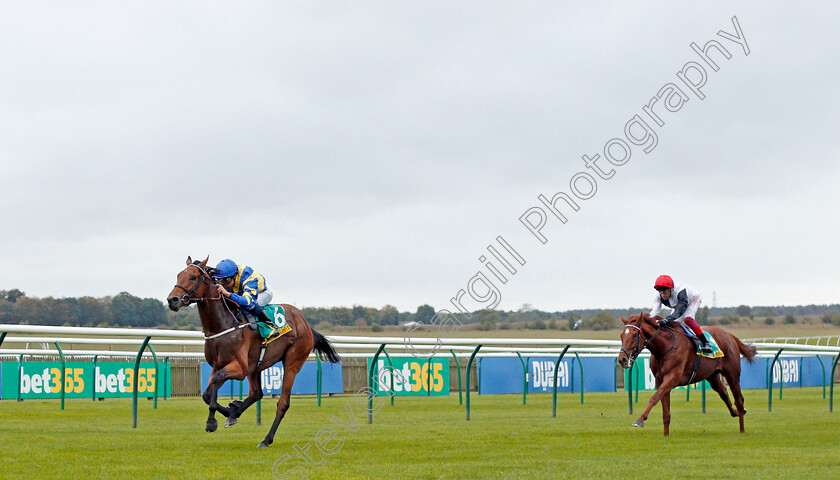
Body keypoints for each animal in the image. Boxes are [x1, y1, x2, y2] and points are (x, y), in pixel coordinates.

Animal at [166, 256, 340, 448]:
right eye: (179, 275)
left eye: (193, 277)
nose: (172, 299)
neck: (223, 325)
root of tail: (305, 323)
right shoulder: (219, 365)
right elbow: (207, 394)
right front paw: (230, 410)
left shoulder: (240, 368)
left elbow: (217, 382)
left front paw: (212, 421)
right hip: (255, 367)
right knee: (257, 393)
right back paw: (235, 413)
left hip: (292, 363)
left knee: (282, 404)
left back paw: (266, 439)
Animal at [616, 314, 756, 436]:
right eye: (621, 335)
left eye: (635, 335)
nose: (622, 359)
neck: (665, 346)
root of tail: (729, 335)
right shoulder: (660, 380)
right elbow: (665, 410)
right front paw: (666, 435)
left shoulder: (672, 377)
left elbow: (654, 397)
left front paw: (640, 420)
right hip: (712, 375)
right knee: (724, 393)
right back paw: (736, 412)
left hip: (732, 374)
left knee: (739, 399)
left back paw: (742, 429)